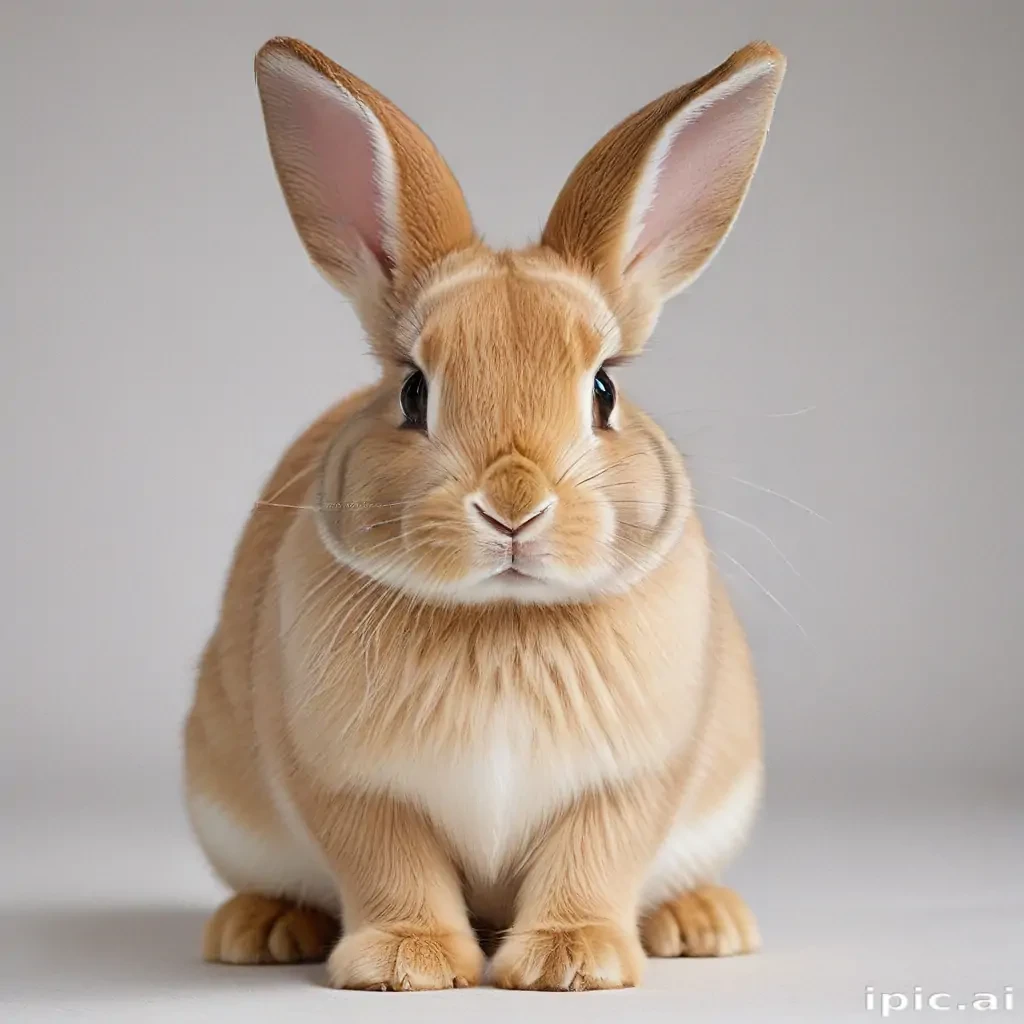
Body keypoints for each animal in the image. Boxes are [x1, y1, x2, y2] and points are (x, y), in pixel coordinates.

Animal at [184, 35, 785, 991]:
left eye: (604, 390)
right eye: (413, 392)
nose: (513, 506)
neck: (502, 619)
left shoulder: (627, 783)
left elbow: (594, 858)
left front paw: (570, 963)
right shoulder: (353, 787)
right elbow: (391, 866)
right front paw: (407, 964)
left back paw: (704, 923)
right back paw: (260, 929)